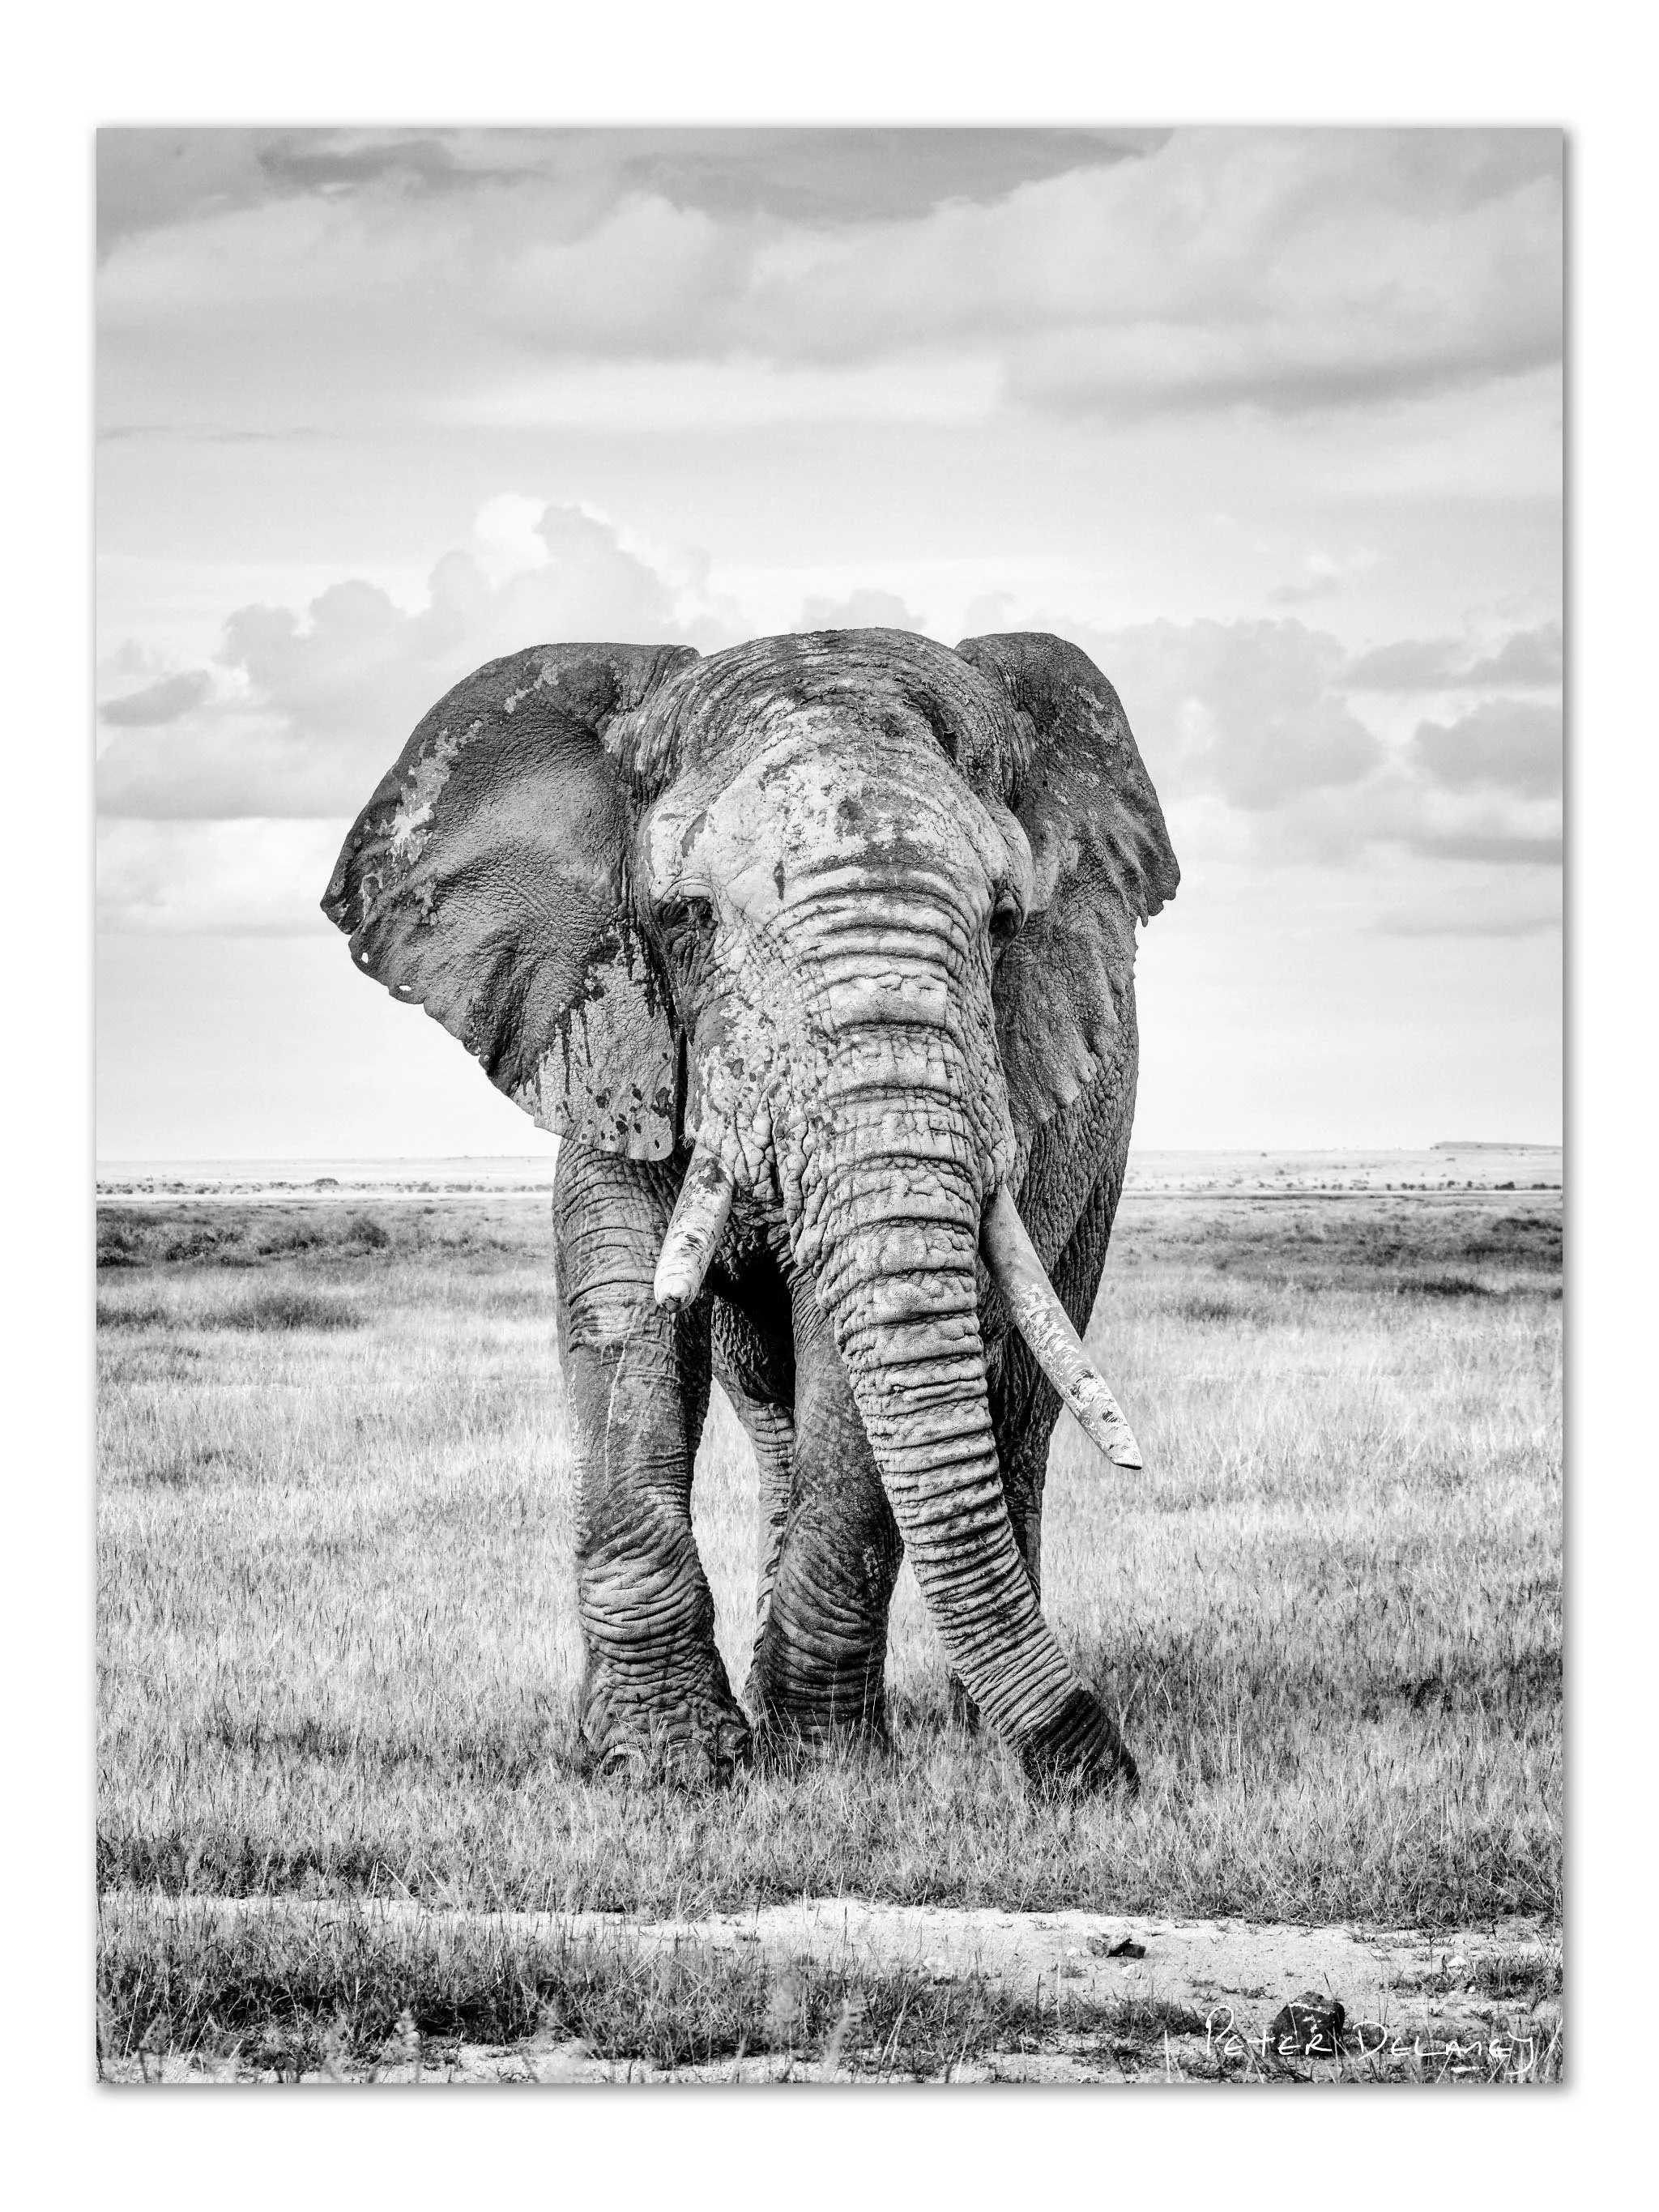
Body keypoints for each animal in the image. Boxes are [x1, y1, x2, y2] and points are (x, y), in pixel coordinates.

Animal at [321, 627, 1178, 1793]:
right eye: (687, 917)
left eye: (1005, 921)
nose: (1107, 1765)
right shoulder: (609, 1032)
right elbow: (624, 1321)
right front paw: (665, 1764)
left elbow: (850, 1362)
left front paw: (823, 1768)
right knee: (773, 1405)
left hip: (1095, 1160)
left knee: (1016, 1407)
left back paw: (960, 1727)